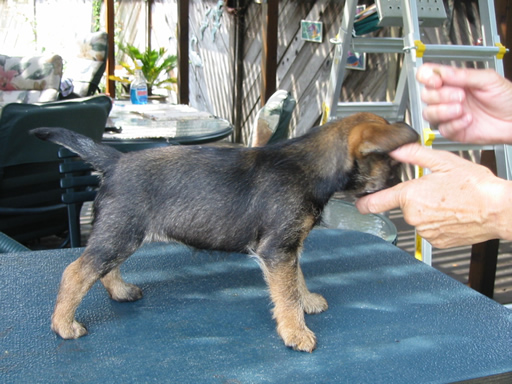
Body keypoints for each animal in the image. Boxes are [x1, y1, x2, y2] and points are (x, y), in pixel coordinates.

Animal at [33, 112, 420, 352]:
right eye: (391, 161)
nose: (400, 184)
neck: (310, 164)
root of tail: (115, 161)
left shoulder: (288, 248)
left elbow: (297, 278)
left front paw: (307, 300)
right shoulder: (276, 250)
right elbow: (286, 294)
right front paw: (296, 331)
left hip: (121, 233)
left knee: (103, 268)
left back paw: (120, 291)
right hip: (121, 233)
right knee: (77, 271)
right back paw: (64, 324)